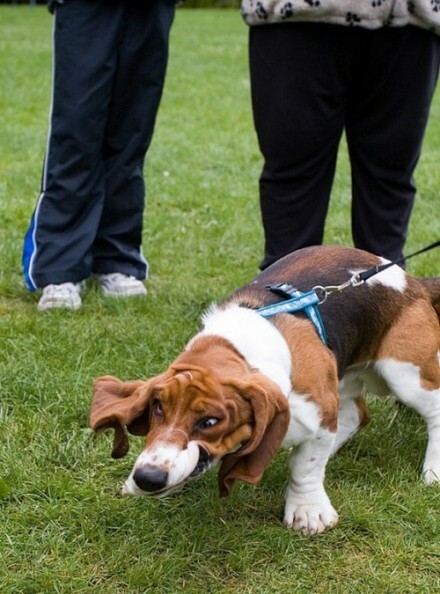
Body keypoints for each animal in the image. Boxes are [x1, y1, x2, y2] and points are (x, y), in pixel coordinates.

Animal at [90, 244, 440, 532]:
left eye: (210, 422)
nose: (146, 478)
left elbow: (304, 468)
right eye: (157, 408)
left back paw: (433, 470)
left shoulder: (319, 410)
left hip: (404, 374)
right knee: (355, 415)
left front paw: (307, 511)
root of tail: (410, 281)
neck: (240, 350)